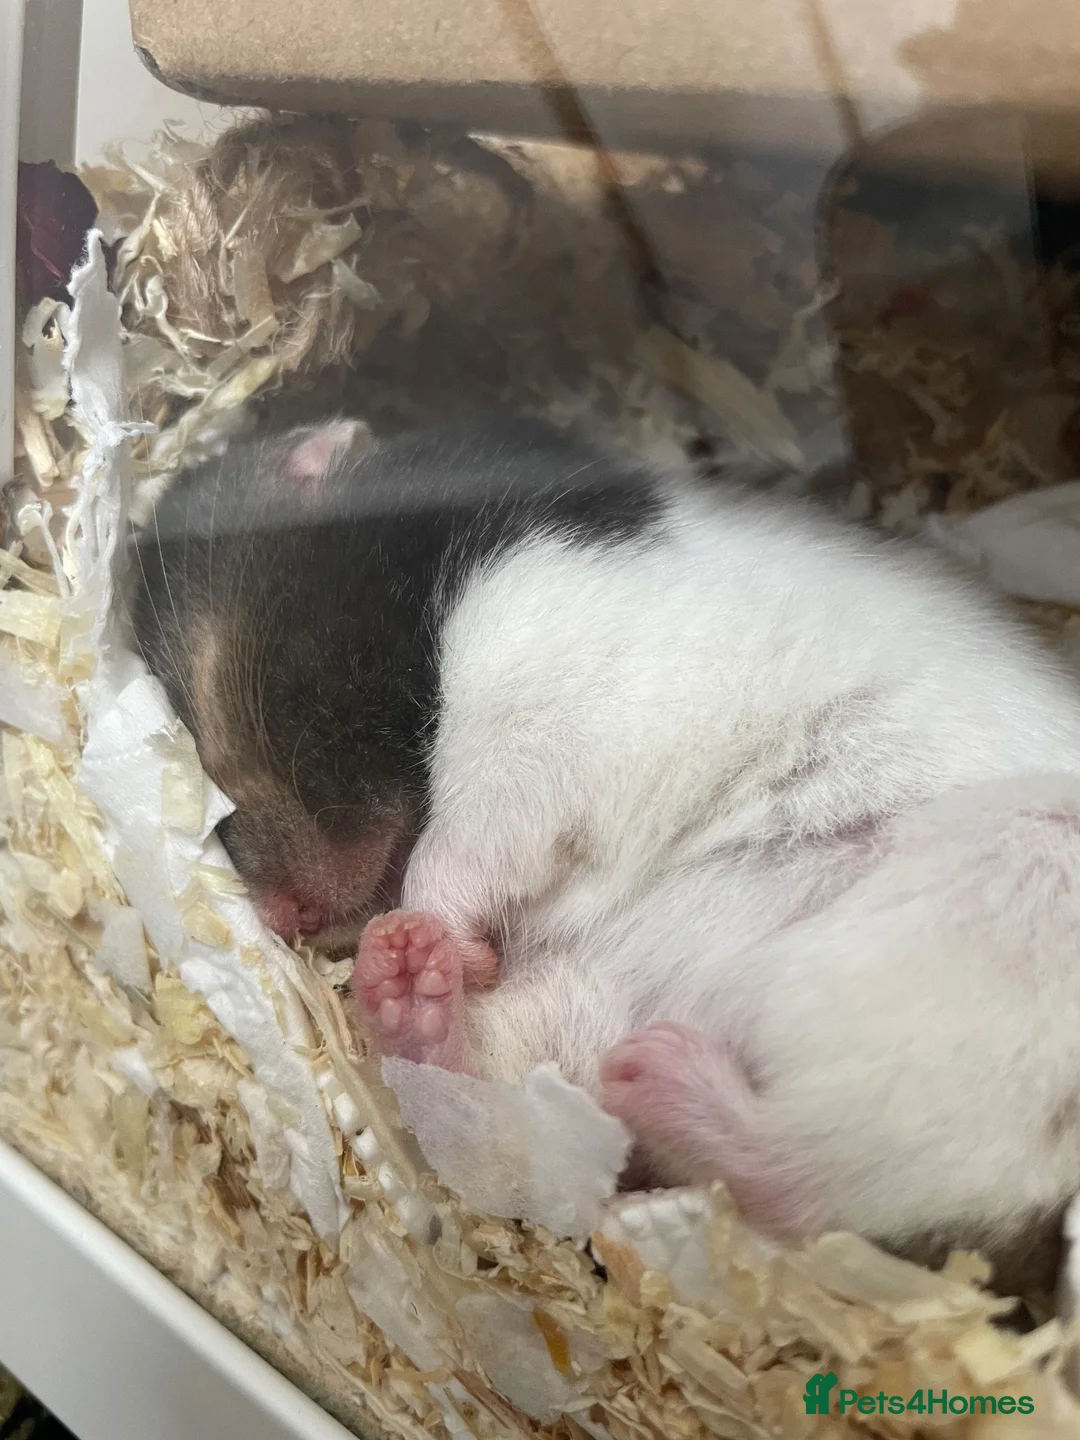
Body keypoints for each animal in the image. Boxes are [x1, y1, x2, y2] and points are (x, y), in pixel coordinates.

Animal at [132, 413, 1080, 1281]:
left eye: (200, 698)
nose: (281, 919)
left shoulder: (538, 720)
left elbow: (464, 843)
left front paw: (456, 940)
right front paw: (437, 950)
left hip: (1000, 916)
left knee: (819, 1187)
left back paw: (641, 1064)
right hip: (646, 975)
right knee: (517, 1087)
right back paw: (409, 982)